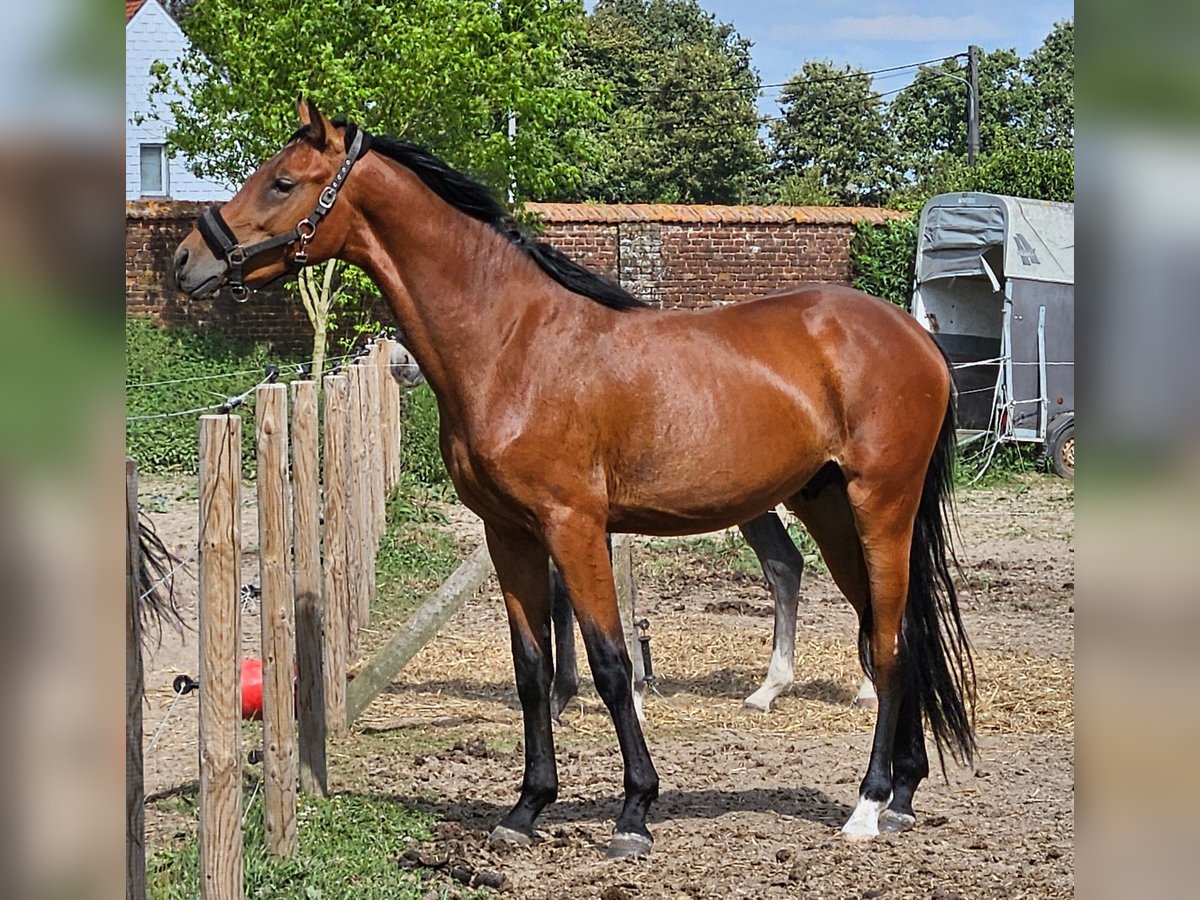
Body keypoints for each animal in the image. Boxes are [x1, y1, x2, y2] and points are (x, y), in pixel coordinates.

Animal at [175, 102, 974, 854]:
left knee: (889, 642)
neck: (513, 344)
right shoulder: (510, 535)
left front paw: (635, 812)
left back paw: (867, 806)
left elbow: (612, 663)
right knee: (896, 630)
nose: (187, 261)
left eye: (282, 182)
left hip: (880, 506)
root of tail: (916, 338)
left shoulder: (576, 526)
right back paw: (902, 794)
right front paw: (526, 808)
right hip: (830, 508)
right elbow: (532, 669)